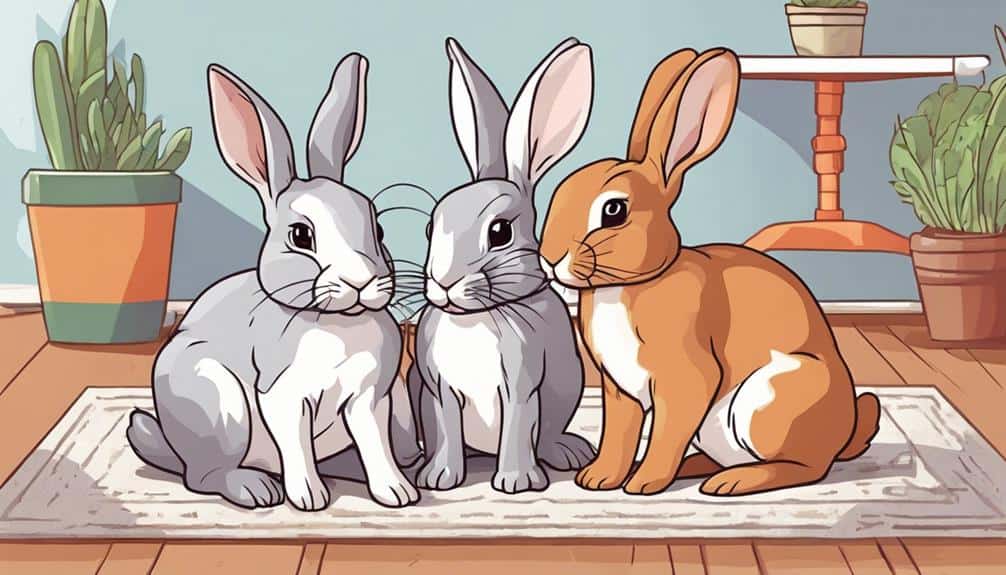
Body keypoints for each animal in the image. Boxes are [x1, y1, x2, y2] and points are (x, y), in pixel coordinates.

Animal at [125, 54, 422, 511]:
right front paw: (309, 499)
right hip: (221, 406)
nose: (360, 281)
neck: (336, 322)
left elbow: (376, 446)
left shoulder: (370, 398)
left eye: (379, 229)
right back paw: (256, 489)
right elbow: (296, 445)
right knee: (204, 476)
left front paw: (397, 494)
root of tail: (172, 447)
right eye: (300, 236)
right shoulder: (282, 394)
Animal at [408, 37, 597, 494]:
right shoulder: (438, 388)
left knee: (545, 435)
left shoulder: (522, 382)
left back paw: (567, 453)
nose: (444, 283)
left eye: (500, 231)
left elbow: (517, 425)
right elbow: (447, 430)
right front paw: (439, 478)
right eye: (430, 227)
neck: (476, 316)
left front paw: (516, 482)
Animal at [538, 47, 881, 497]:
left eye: (613, 211)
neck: (634, 283)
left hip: (772, 399)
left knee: (805, 467)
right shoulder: (619, 390)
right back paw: (699, 469)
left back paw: (730, 482)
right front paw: (599, 479)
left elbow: (665, 433)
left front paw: (644, 484)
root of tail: (843, 433)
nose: (548, 257)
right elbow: (619, 436)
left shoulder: (685, 377)